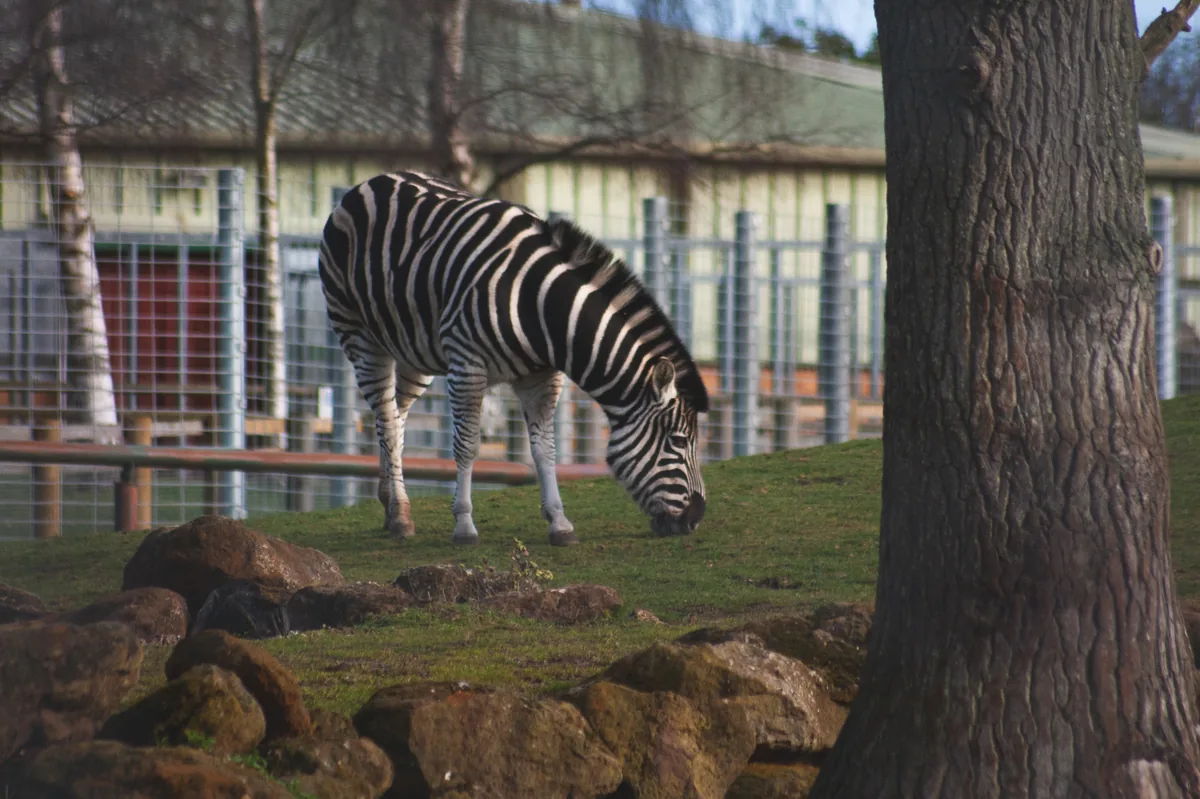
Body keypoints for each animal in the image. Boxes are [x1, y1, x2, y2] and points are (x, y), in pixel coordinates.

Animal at [318, 171, 709, 547]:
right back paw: (400, 514)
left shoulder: (542, 376)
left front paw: (560, 523)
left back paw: (390, 502)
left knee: (396, 419)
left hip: (415, 352)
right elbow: (467, 445)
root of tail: (371, 181)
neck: (541, 308)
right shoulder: (467, 365)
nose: (695, 520)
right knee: (386, 420)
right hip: (360, 337)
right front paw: (464, 525)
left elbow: (545, 449)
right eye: (678, 441)